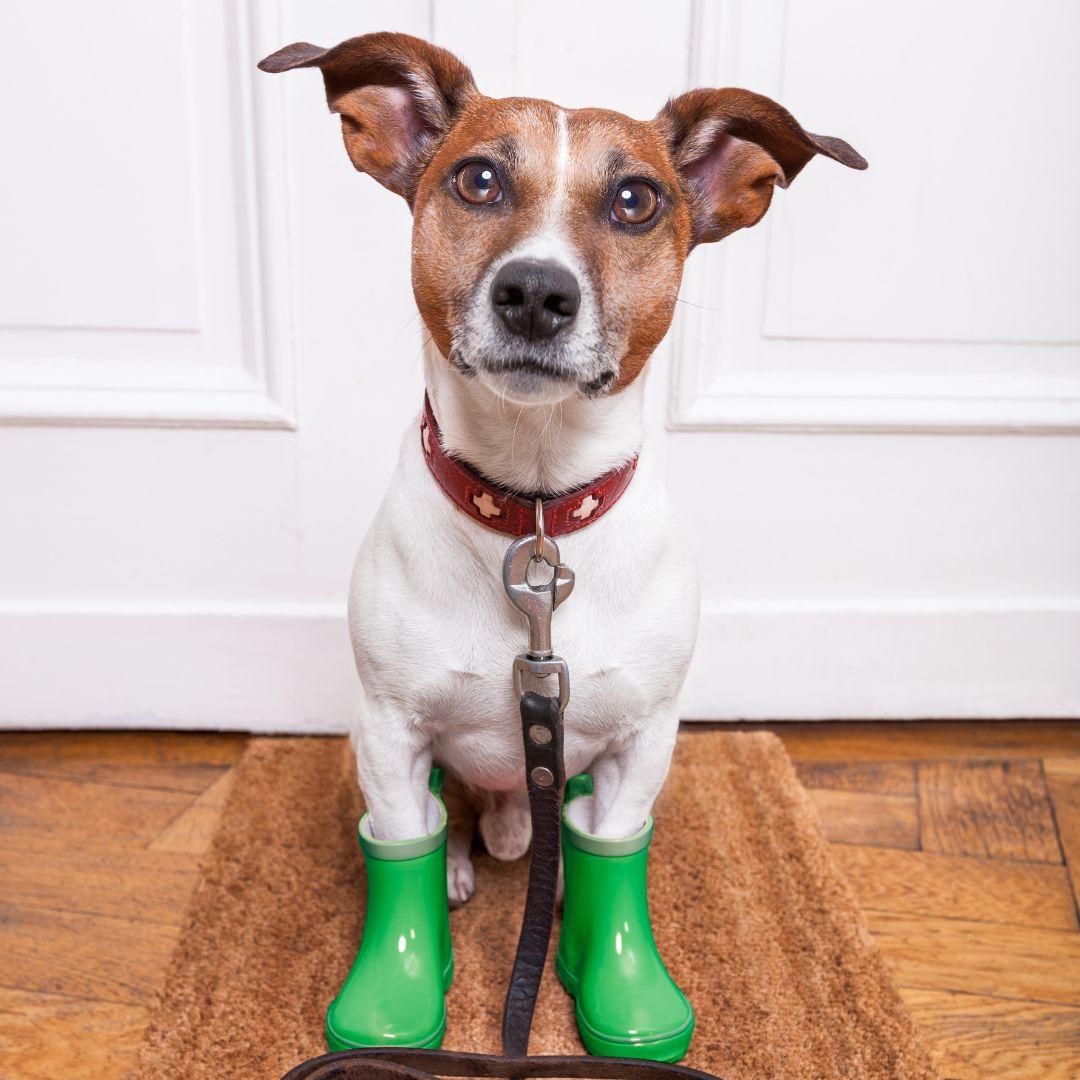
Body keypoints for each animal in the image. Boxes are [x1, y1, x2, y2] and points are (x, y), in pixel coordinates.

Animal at [257, 33, 864, 907]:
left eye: (636, 200)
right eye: (478, 180)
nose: (536, 292)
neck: (537, 499)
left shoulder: (640, 748)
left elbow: (611, 840)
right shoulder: (389, 735)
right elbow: (406, 834)